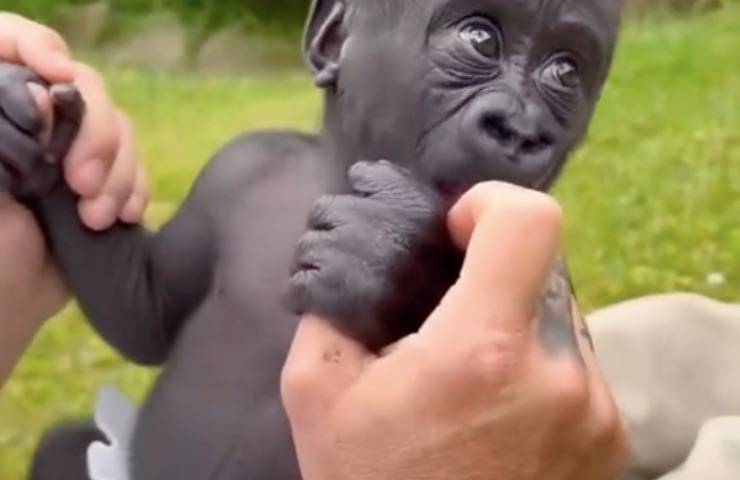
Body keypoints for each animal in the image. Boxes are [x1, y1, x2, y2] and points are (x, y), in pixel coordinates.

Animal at [0, 0, 622, 478]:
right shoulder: (235, 166)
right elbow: (145, 311)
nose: (521, 131)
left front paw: (401, 260)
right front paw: (44, 142)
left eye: (566, 73)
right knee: (66, 450)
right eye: (480, 39)